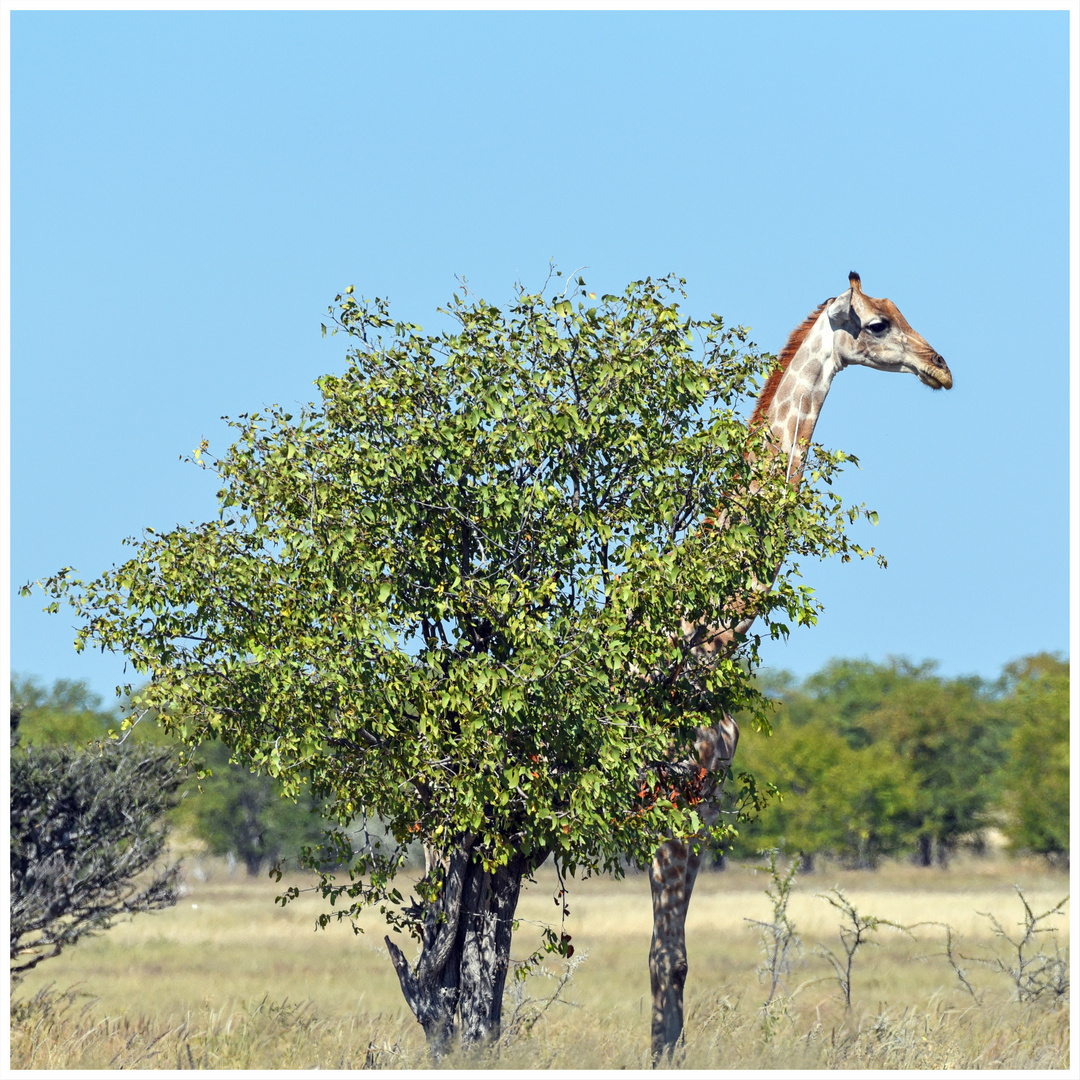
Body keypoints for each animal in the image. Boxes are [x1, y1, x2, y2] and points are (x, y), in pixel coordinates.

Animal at [643, 272, 950, 1062]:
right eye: (876, 324)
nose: (941, 367)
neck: (707, 638)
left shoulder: (704, 803)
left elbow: (676, 959)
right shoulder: (672, 804)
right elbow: (666, 958)